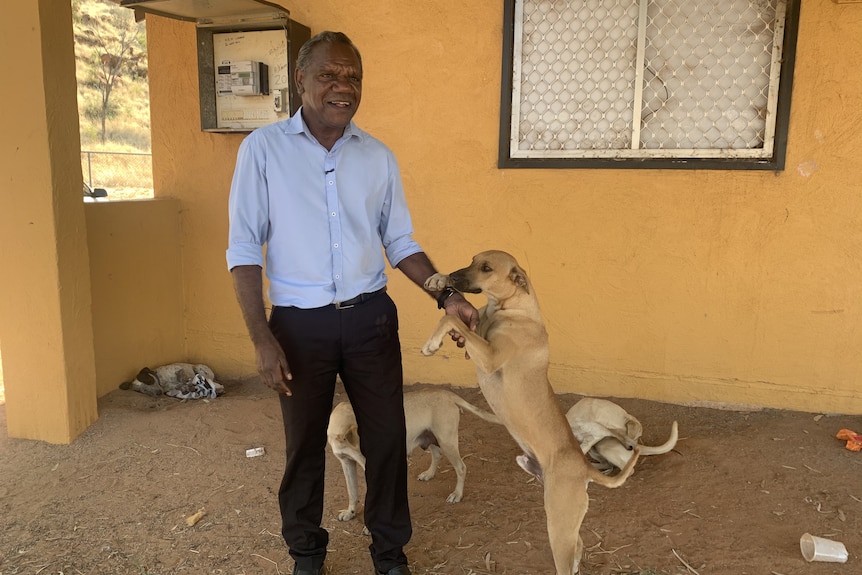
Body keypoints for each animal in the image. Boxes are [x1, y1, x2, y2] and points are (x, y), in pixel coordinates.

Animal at [328, 390, 502, 524]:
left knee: (461, 467)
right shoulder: (346, 463)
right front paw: (350, 512)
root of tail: (447, 393)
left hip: (447, 441)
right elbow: (352, 491)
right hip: (431, 438)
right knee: (437, 455)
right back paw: (429, 474)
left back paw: (457, 494)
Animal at [422, 251, 636, 575]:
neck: (511, 308)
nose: (455, 276)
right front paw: (438, 279)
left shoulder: (489, 356)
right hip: (563, 517)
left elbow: (450, 317)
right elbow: (456, 317)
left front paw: (431, 343)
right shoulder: (477, 335)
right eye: (472, 259)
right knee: (579, 547)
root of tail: (584, 468)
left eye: (486, 268)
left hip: (558, 524)